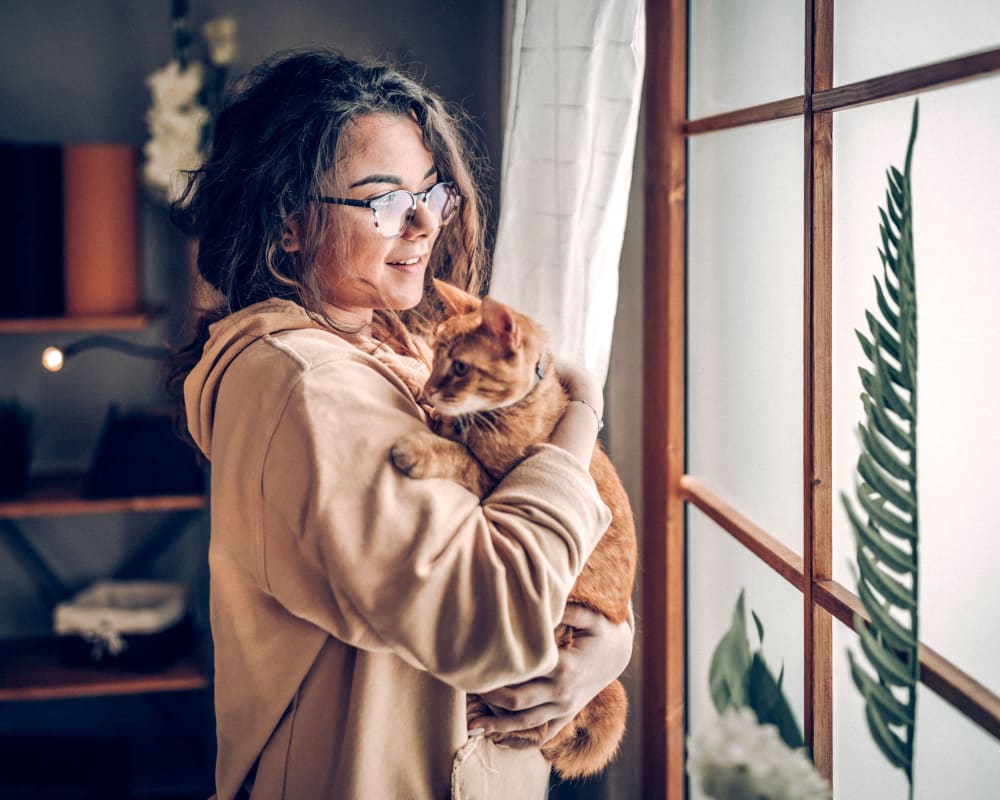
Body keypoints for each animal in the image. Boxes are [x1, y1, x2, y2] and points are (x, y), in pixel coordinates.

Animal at [388, 278, 632, 780]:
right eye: (436, 355)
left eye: (460, 367)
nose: (431, 389)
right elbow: (439, 420)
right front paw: (402, 369)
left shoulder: (494, 486)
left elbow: (456, 455)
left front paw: (421, 447)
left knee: (547, 730)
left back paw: (487, 718)